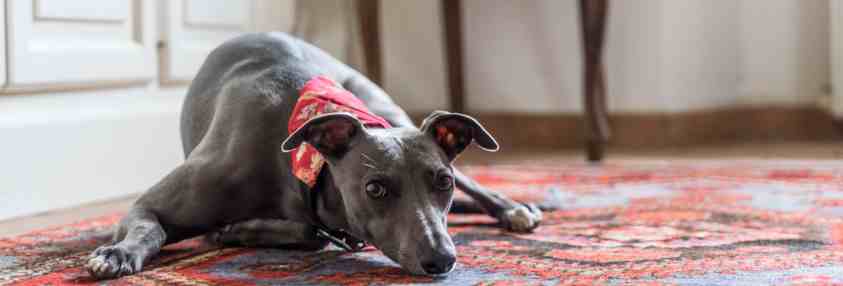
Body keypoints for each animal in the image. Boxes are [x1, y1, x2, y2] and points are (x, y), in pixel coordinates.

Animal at [84, 32, 540, 278]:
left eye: (441, 182)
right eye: (375, 188)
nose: (442, 259)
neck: (296, 168)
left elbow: (312, 234)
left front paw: (237, 230)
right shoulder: (146, 206)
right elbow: (150, 227)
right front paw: (117, 253)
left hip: (385, 105)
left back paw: (514, 208)